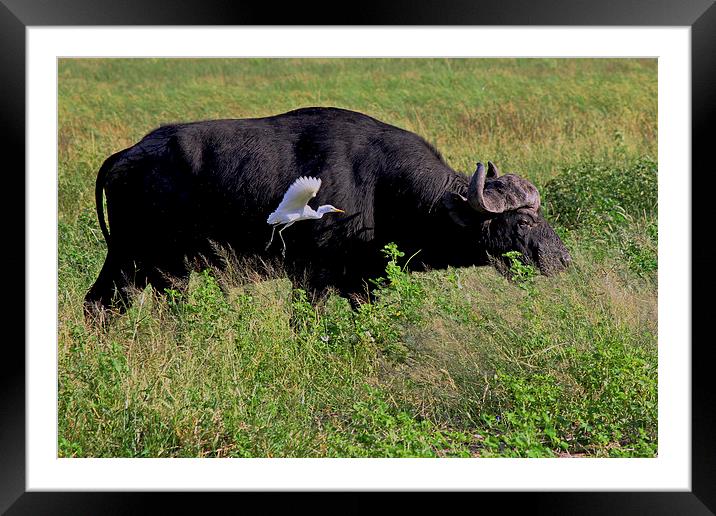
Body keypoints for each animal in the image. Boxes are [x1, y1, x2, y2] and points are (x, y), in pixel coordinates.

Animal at [82, 106, 572, 314]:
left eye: (541, 213)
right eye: (522, 219)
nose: (562, 260)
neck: (382, 187)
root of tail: (128, 154)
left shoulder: (365, 282)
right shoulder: (311, 277)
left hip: (146, 266)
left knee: (104, 305)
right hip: (144, 261)